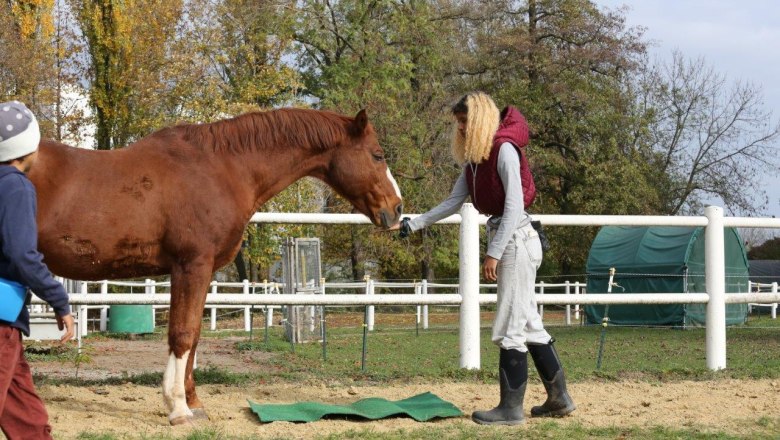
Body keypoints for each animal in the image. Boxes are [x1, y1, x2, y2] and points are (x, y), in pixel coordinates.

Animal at [28, 108, 403, 425]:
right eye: (377, 155)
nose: (397, 209)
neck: (221, 169)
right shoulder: (192, 265)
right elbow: (181, 334)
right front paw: (178, 409)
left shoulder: (202, 272)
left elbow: (193, 335)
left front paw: (194, 403)